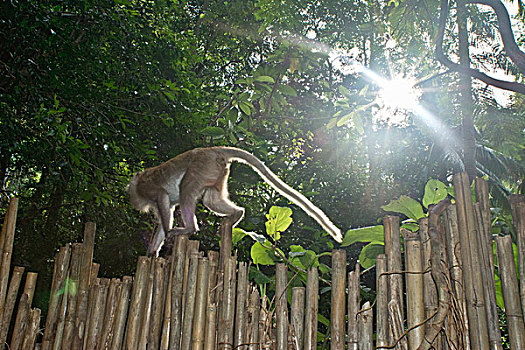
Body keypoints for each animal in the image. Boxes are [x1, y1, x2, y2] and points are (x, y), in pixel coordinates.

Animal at [128, 146, 344, 256]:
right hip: (215, 170)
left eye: (132, 191)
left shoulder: (150, 189)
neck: (140, 183)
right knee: (210, 199)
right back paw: (236, 214)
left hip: (202, 165)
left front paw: (167, 235)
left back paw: (189, 229)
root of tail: (214, 150)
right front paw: (152, 251)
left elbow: (164, 201)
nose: (132, 198)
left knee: (187, 190)